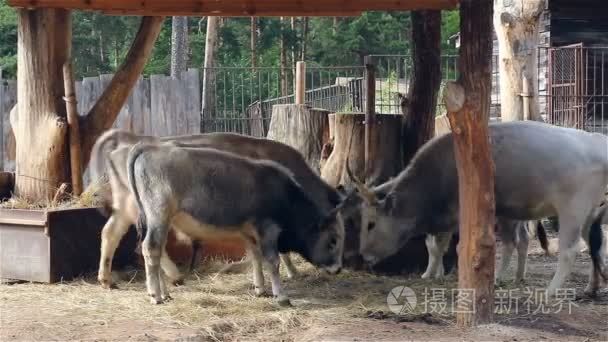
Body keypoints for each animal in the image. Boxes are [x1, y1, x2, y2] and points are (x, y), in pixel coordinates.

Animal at [346, 121, 608, 296]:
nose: (364, 255)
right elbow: (435, 246)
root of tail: (597, 141)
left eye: (371, 224)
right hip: (589, 213)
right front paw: (432, 273)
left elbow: (452, 247)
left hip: (572, 211)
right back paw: (592, 286)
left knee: (569, 251)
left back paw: (549, 292)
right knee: (595, 245)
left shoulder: (457, 215)